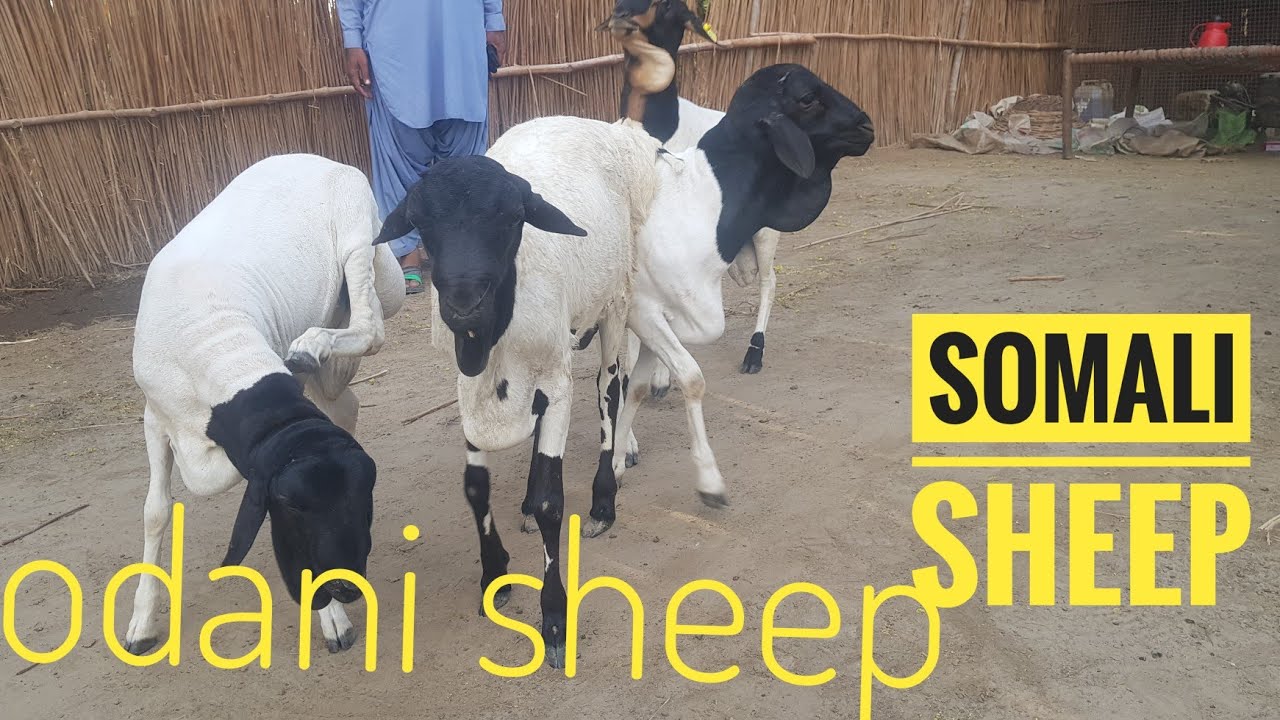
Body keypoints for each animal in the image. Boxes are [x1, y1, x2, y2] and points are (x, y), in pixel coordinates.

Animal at [126, 153, 404, 657]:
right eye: (290, 505)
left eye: (365, 492)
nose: (347, 587)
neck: (216, 339)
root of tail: (313, 157)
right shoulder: (154, 414)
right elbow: (155, 510)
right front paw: (141, 623)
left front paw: (333, 623)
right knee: (344, 399)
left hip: (362, 239)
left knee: (371, 324)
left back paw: (313, 344)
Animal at [603, 0, 784, 386]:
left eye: (671, 9)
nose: (621, 17)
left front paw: (657, 377)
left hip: (766, 233)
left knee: (769, 281)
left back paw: (754, 353)